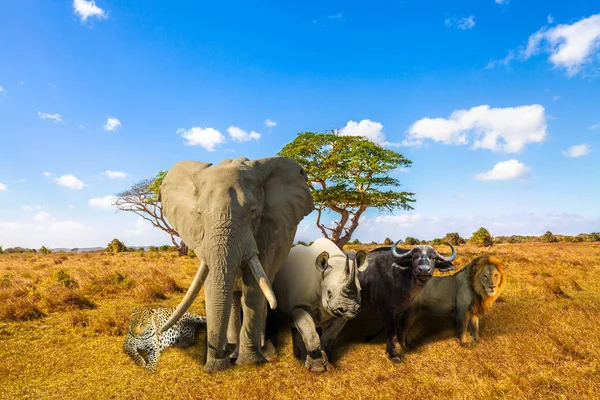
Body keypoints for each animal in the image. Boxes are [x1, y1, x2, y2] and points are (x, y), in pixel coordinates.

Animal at [157, 156, 314, 372]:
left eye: (254, 212)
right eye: (200, 213)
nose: (212, 367)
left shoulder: (266, 235)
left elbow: (254, 289)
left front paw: (250, 362)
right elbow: (211, 285)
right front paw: (219, 365)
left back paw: (261, 350)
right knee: (233, 296)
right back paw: (233, 352)